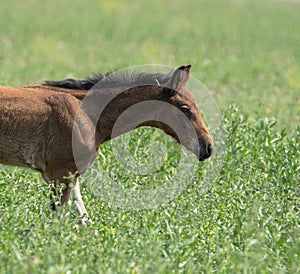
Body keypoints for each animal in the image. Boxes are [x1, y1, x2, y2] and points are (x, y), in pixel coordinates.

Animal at [0, 65, 212, 224]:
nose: (208, 146)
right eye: (185, 108)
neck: (86, 112)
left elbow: (84, 219)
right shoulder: (60, 174)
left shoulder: (70, 175)